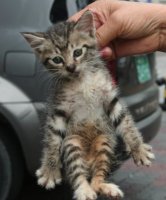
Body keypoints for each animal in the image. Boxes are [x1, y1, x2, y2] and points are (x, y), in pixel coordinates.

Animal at [22, 10, 154, 200]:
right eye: (57, 59)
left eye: (77, 52)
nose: (70, 67)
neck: (81, 79)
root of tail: (89, 161)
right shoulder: (58, 108)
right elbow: (52, 138)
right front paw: (49, 170)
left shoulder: (109, 97)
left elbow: (126, 123)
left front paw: (138, 149)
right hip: (72, 143)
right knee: (79, 175)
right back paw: (84, 191)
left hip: (105, 141)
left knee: (97, 178)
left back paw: (106, 188)